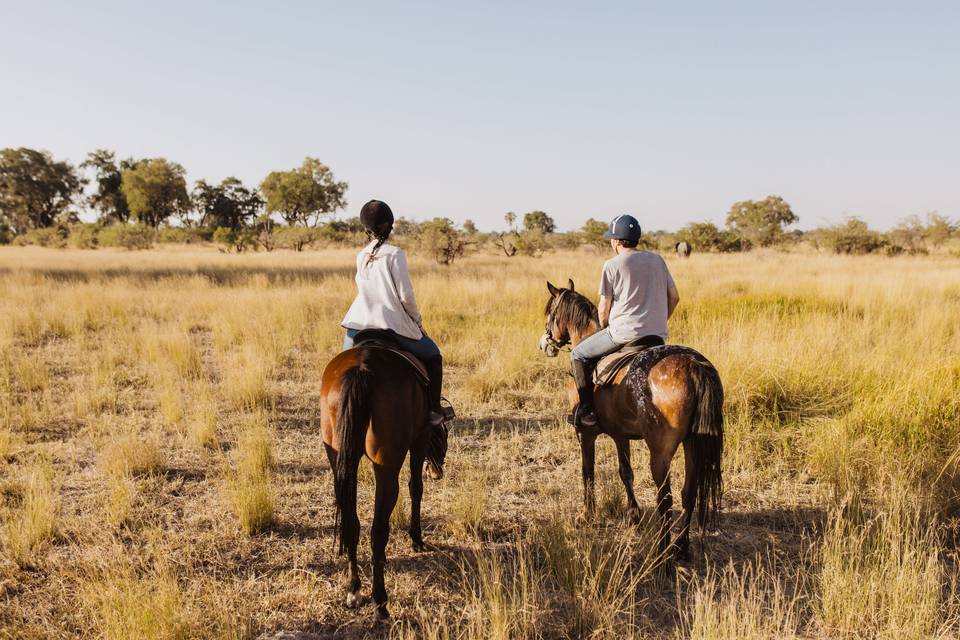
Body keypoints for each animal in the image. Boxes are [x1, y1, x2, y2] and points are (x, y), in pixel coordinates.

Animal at [318, 344, 446, 620]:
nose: (438, 471)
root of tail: (362, 368)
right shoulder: (420, 439)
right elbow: (416, 488)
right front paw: (416, 539)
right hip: (387, 464)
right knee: (378, 530)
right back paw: (380, 602)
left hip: (338, 456)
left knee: (352, 523)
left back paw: (354, 590)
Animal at [540, 278, 720, 556]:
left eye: (550, 312)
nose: (545, 344)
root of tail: (693, 366)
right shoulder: (619, 434)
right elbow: (625, 471)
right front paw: (634, 515)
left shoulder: (586, 433)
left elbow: (587, 471)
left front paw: (587, 515)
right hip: (693, 444)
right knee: (688, 493)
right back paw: (681, 546)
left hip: (660, 453)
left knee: (665, 499)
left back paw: (662, 553)